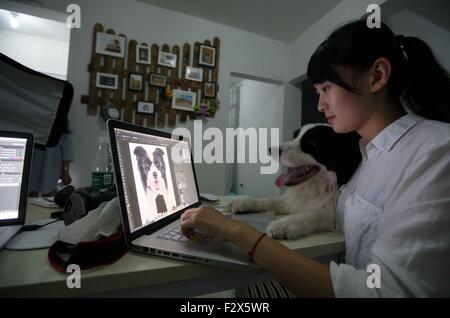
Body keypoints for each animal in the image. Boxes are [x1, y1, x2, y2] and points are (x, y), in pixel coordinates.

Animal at [230, 124, 360, 238]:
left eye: (313, 142)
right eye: (294, 137)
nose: (270, 150)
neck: (318, 187)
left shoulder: (336, 217)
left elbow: (315, 213)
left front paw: (283, 225)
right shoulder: (291, 200)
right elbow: (270, 200)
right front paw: (245, 202)